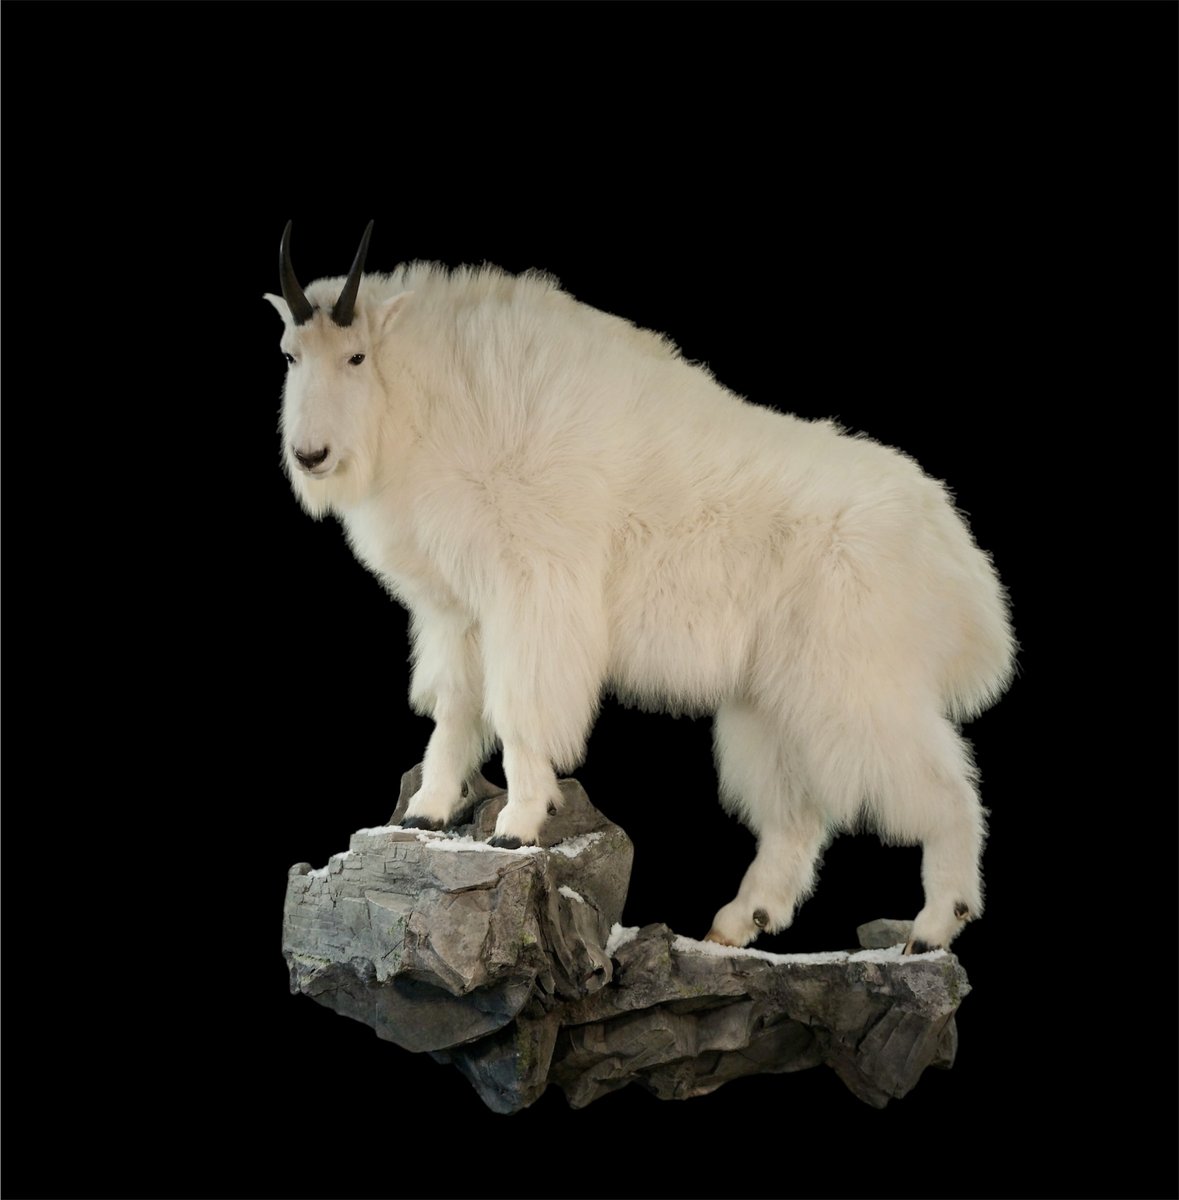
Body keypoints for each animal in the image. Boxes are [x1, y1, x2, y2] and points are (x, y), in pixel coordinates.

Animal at [265, 221, 1015, 953]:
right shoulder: (456, 612)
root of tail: (956, 557)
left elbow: (518, 709)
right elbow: (453, 707)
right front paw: (427, 811)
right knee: (796, 814)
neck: (433, 404)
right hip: (773, 701)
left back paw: (932, 924)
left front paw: (517, 823)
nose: (311, 456)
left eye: (356, 357)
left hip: (857, 681)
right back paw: (736, 924)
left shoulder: (530, 595)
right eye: (290, 356)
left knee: (945, 790)